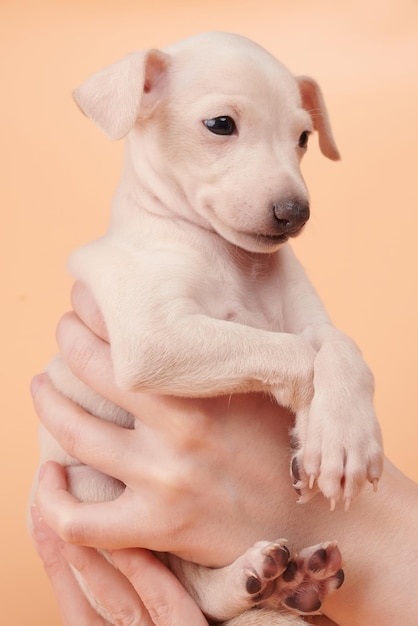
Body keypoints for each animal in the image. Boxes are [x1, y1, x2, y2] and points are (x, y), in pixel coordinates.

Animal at [33, 31, 386, 620]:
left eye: (304, 138)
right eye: (221, 124)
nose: (295, 211)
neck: (237, 263)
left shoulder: (307, 319)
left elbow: (339, 349)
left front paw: (344, 438)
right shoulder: (155, 338)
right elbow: (291, 352)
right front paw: (319, 428)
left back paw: (288, 583)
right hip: (96, 494)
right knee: (191, 584)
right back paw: (251, 579)